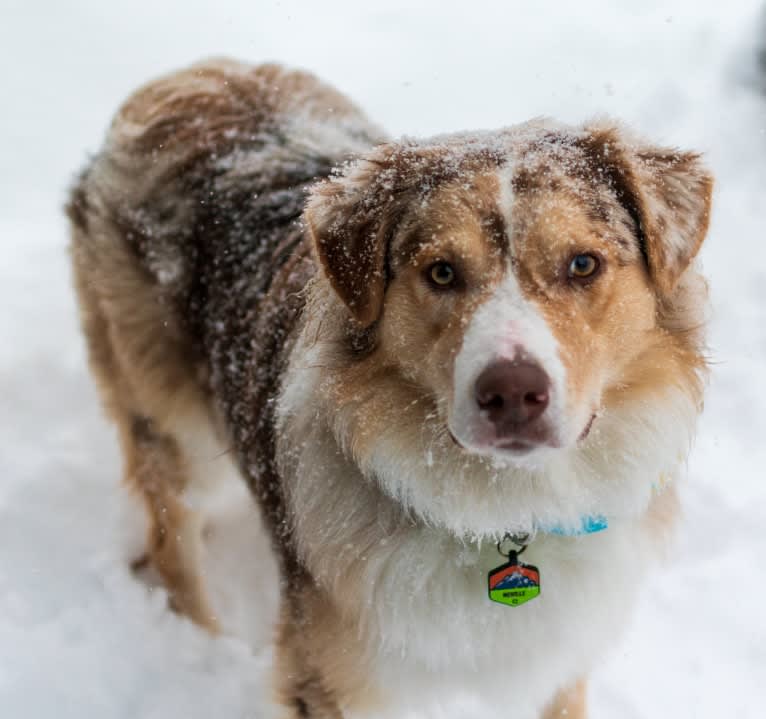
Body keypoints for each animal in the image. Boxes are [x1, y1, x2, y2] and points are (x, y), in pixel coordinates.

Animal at [69, 59, 716, 716]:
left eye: (583, 264)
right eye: (442, 272)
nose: (512, 394)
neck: (505, 507)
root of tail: (193, 72)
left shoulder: (561, 663)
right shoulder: (333, 677)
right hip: (176, 428)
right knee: (172, 538)